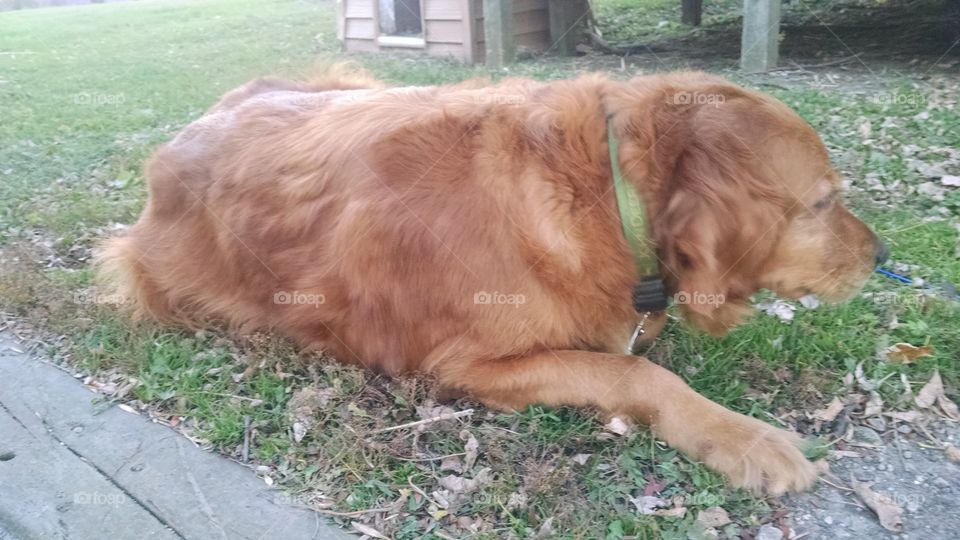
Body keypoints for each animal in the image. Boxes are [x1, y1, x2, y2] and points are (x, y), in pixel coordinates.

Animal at [97, 69, 884, 496]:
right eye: (823, 203)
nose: (880, 254)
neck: (605, 192)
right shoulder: (469, 366)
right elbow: (639, 373)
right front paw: (746, 438)